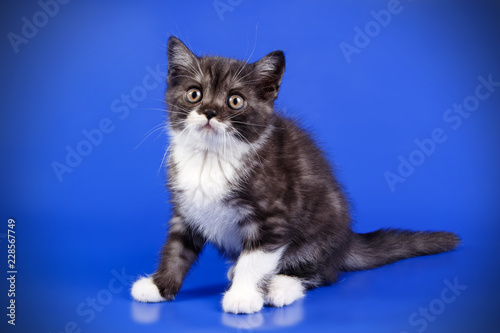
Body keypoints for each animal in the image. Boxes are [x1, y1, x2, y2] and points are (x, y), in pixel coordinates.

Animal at [131, 37, 458, 312]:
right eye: (194, 94)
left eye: (235, 101)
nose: (209, 112)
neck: (211, 158)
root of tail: (347, 241)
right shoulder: (185, 210)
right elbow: (176, 249)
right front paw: (159, 286)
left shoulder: (274, 216)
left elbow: (256, 259)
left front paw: (243, 296)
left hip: (322, 230)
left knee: (325, 273)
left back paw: (281, 286)